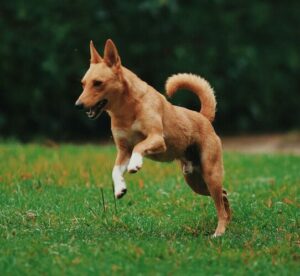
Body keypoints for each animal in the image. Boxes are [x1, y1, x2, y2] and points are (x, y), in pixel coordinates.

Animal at [75, 39, 232, 237]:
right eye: (83, 84)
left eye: (98, 83)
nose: (77, 105)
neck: (126, 111)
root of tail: (203, 117)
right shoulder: (123, 150)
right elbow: (115, 170)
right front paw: (120, 188)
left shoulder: (156, 139)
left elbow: (139, 147)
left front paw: (135, 164)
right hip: (195, 181)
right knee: (224, 196)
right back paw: (228, 223)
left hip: (210, 173)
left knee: (220, 203)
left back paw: (219, 232)